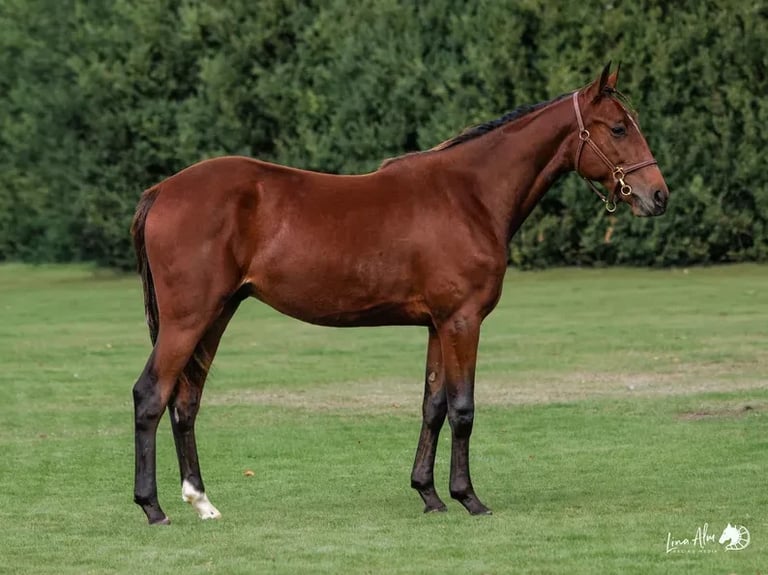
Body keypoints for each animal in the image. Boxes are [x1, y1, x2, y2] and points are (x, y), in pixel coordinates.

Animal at [130, 63, 668, 525]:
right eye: (618, 128)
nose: (658, 195)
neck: (468, 196)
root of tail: (162, 191)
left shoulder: (436, 325)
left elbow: (433, 406)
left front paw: (428, 494)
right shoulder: (462, 321)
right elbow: (463, 409)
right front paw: (469, 498)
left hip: (216, 316)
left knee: (186, 400)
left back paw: (202, 502)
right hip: (188, 320)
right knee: (150, 394)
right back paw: (153, 508)